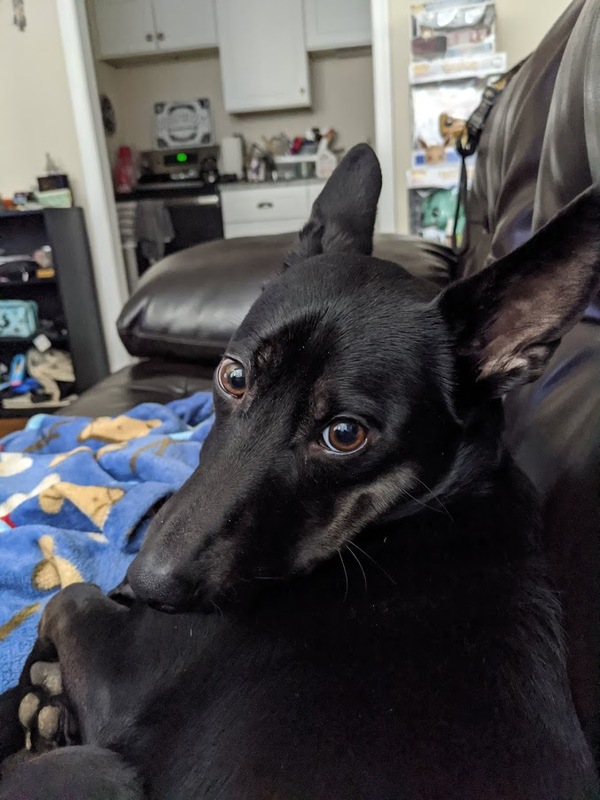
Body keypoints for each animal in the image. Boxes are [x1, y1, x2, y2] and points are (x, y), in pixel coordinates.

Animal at [1, 145, 600, 800]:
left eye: (344, 435)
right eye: (234, 376)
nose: (151, 584)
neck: (424, 513)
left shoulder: (117, 676)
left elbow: (69, 596)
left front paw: (42, 690)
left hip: (96, 773)